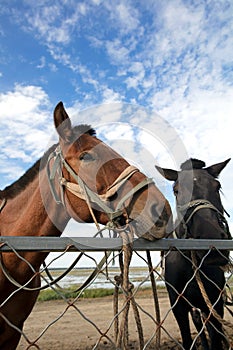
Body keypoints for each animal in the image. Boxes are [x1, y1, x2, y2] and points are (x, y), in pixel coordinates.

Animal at [155, 159, 231, 350]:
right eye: (176, 190)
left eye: (217, 186)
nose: (210, 236)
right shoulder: (178, 306)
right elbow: (187, 338)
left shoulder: (214, 303)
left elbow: (216, 338)